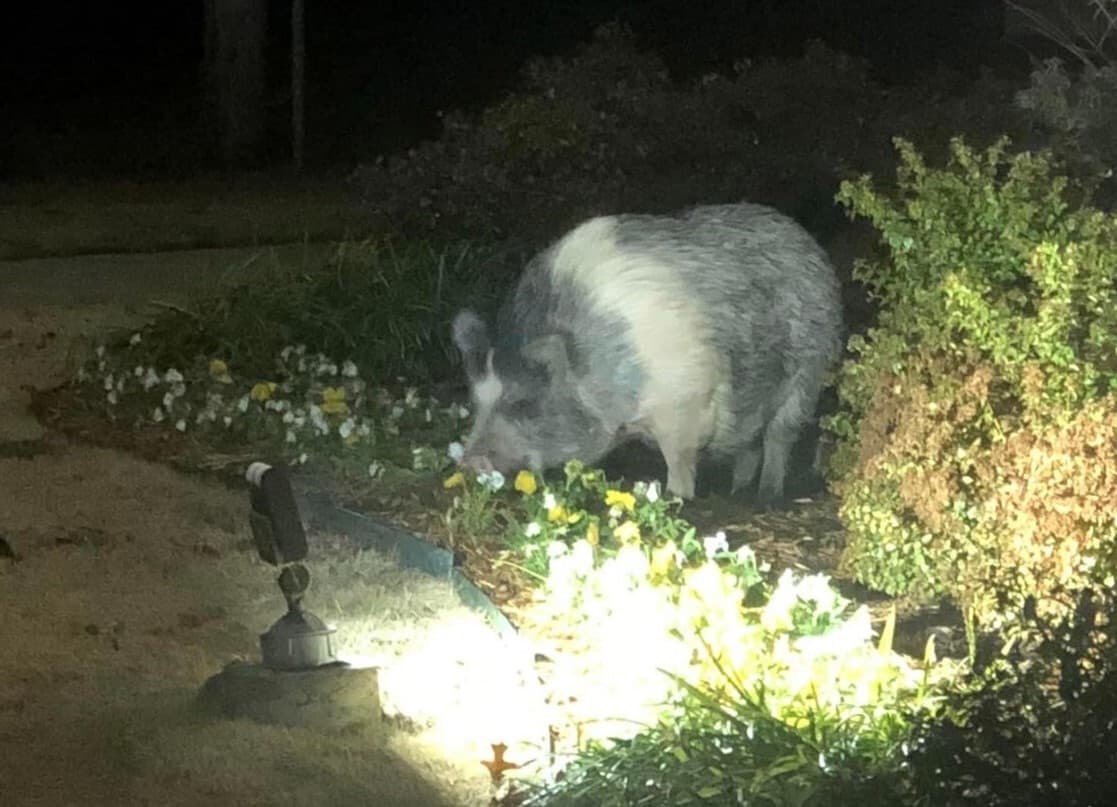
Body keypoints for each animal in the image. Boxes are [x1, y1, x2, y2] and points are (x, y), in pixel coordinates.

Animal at [451, 202, 844, 506]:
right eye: (475, 401)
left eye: (524, 404)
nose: (469, 461)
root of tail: (809, 244)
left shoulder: (685, 398)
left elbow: (680, 461)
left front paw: (676, 499)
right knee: (750, 442)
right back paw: (738, 491)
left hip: (810, 368)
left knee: (780, 434)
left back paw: (765, 497)